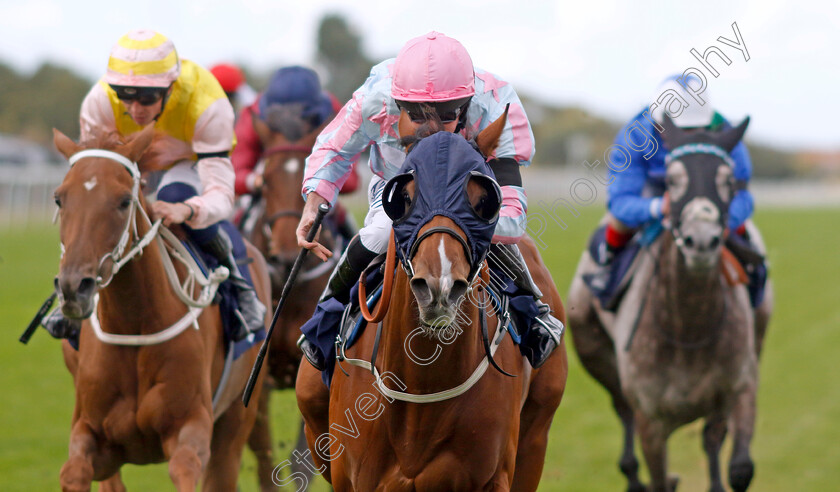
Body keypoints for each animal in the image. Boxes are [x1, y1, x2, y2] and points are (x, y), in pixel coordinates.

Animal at [49, 125, 270, 490]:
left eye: (124, 201)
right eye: (59, 198)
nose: (73, 287)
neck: (134, 324)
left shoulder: (191, 425)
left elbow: (186, 466)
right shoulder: (92, 432)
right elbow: (74, 471)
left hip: (237, 419)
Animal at [296, 112, 572, 492]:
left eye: (484, 200)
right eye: (404, 196)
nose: (439, 287)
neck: (420, 391)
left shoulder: (493, 477)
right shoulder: (352, 479)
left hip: (536, 438)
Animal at [564, 116, 776, 492]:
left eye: (727, 180)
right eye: (673, 180)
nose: (701, 241)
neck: (688, 327)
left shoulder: (739, 386)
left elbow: (739, 468)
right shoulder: (651, 420)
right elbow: (659, 475)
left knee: (711, 439)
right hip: (595, 352)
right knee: (622, 412)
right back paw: (632, 473)